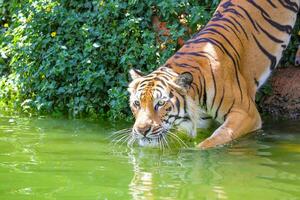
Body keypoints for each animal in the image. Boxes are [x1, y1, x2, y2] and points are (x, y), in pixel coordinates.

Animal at [127, 0, 298, 149]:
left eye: (161, 103)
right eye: (136, 103)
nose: (142, 130)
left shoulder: (246, 113)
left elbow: (216, 139)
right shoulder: (201, 122)